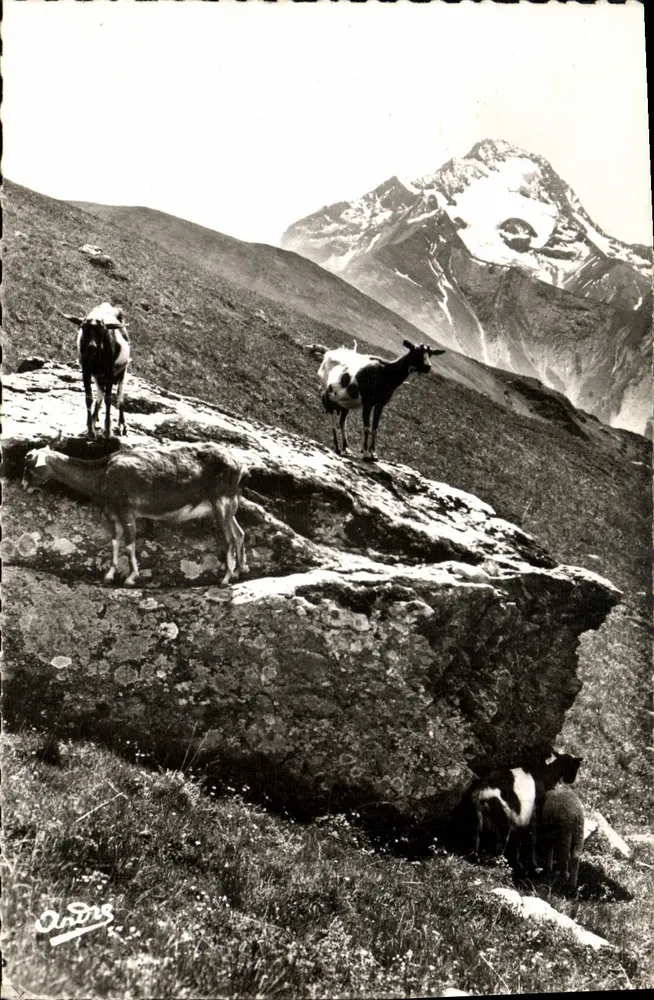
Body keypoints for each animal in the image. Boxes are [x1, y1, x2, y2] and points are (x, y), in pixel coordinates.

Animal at [22, 441, 249, 587]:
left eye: (30, 464)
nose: (24, 486)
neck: (102, 475)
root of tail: (239, 465)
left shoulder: (127, 510)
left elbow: (130, 543)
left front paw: (131, 578)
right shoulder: (113, 514)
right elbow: (115, 542)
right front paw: (109, 575)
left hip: (220, 502)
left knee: (229, 538)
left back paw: (225, 579)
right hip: (230, 506)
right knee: (240, 534)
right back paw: (240, 571)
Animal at [60, 302, 130, 439]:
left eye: (102, 330)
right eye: (82, 327)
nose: (91, 347)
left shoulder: (109, 372)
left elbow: (109, 399)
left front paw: (107, 430)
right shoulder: (86, 371)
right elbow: (89, 398)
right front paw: (90, 431)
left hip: (122, 371)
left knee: (119, 397)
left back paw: (121, 425)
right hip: (99, 377)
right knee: (100, 395)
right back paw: (93, 419)